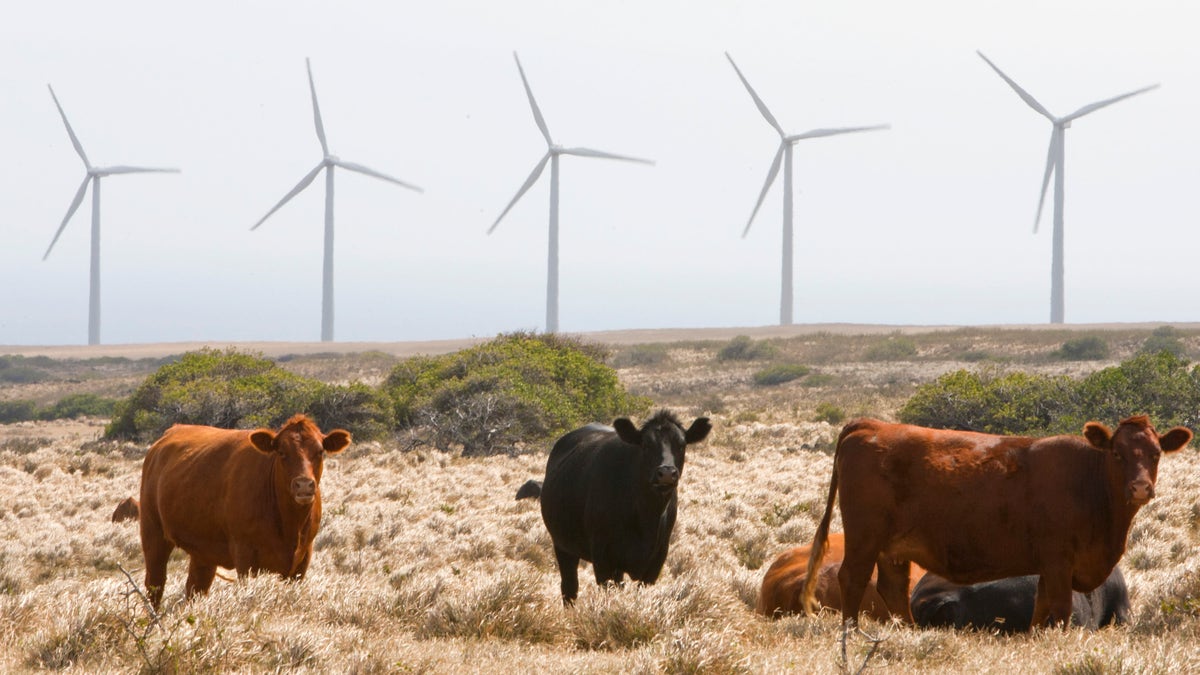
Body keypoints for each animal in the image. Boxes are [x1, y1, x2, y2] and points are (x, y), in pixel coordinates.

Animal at [126, 413, 350, 607]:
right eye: (282, 452)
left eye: (320, 452)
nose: (303, 485)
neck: (289, 525)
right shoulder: (245, 554)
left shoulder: (302, 559)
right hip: (153, 532)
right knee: (155, 584)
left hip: (203, 550)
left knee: (195, 588)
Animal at [516, 408, 710, 600]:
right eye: (646, 445)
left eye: (682, 445)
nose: (667, 473)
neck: (645, 517)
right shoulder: (603, 559)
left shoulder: (656, 561)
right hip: (562, 545)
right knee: (569, 588)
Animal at [801, 415, 1185, 624]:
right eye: (1118, 454)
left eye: (1155, 454)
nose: (1140, 487)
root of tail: (871, 425)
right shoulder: (1059, 561)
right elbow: (1059, 609)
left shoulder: (1048, 566)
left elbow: (1041, 609)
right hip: (864, 538)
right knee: (853, 580)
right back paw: (852, 632)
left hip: (893, 548)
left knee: (893, 589)